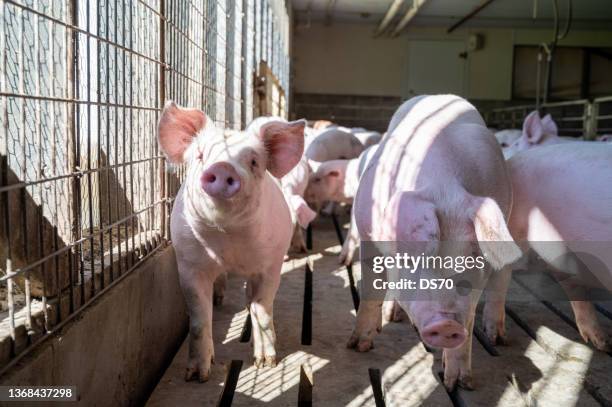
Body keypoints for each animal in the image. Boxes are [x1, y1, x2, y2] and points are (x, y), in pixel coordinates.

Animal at [158, 102, 306, 382]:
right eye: (200, 155)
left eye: (254, 162)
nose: (223, 168)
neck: (229, 241)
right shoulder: (190, 263)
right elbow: (199, 319)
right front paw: (197, 376)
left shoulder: (271, 263)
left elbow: (262, 308)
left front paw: (266, 363)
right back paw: (218, 298)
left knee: (250, 299)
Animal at [350, 94, 520, 390]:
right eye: (415, 260)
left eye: (472, 258)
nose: (446, 325)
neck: (443, 187)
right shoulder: (366, 230)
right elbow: (371, 287)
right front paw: (359, 346)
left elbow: (470, 316)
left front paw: (460, 383)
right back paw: (393, 316)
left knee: (502, 277)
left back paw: (497, 338)